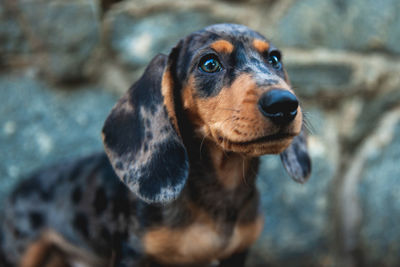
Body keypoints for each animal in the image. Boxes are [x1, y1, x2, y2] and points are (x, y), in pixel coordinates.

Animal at [0, 24, 310, 266]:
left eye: (274, 59)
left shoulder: (236, 254)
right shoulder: (132, 254)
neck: (220, 191)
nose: (284, 104)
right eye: (209, 63)